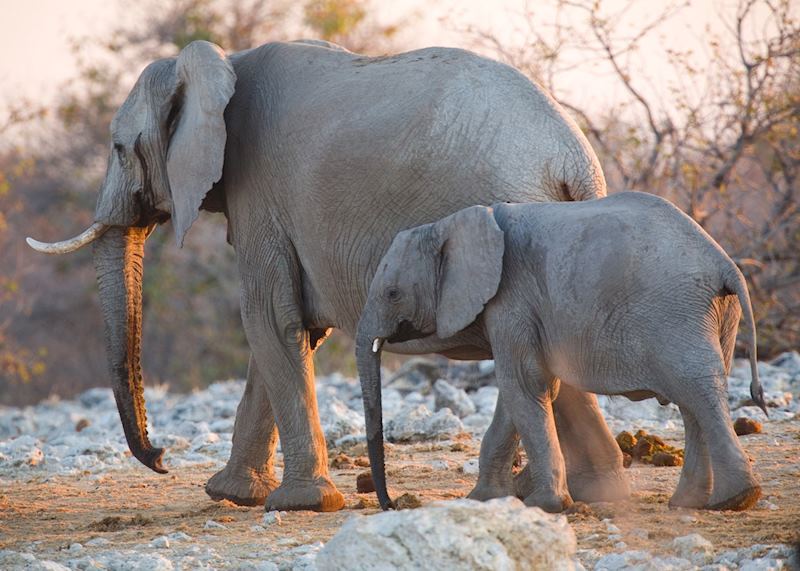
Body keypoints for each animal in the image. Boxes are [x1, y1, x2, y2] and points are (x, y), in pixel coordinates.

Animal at [27, 38, 627, 512]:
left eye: (118, 147)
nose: (161, 458)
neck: (219, 63)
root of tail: (575, 162)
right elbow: (292, 330)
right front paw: (231, 494)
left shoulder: (259, 190)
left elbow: (268, 319)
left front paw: (295, 503)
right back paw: (581, 492)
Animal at [356, 192, 767, 513]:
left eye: (392, 293)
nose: (390, 504)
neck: (450, 224)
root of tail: (726, 265)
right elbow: (523, 390)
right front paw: (484, 500)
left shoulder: (510, 298)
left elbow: (524, 383)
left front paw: (545, 506)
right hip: (713, 316)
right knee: (698, 396)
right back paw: (696, 502)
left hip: (676, 313)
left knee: (697, 390)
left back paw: (733, 500)